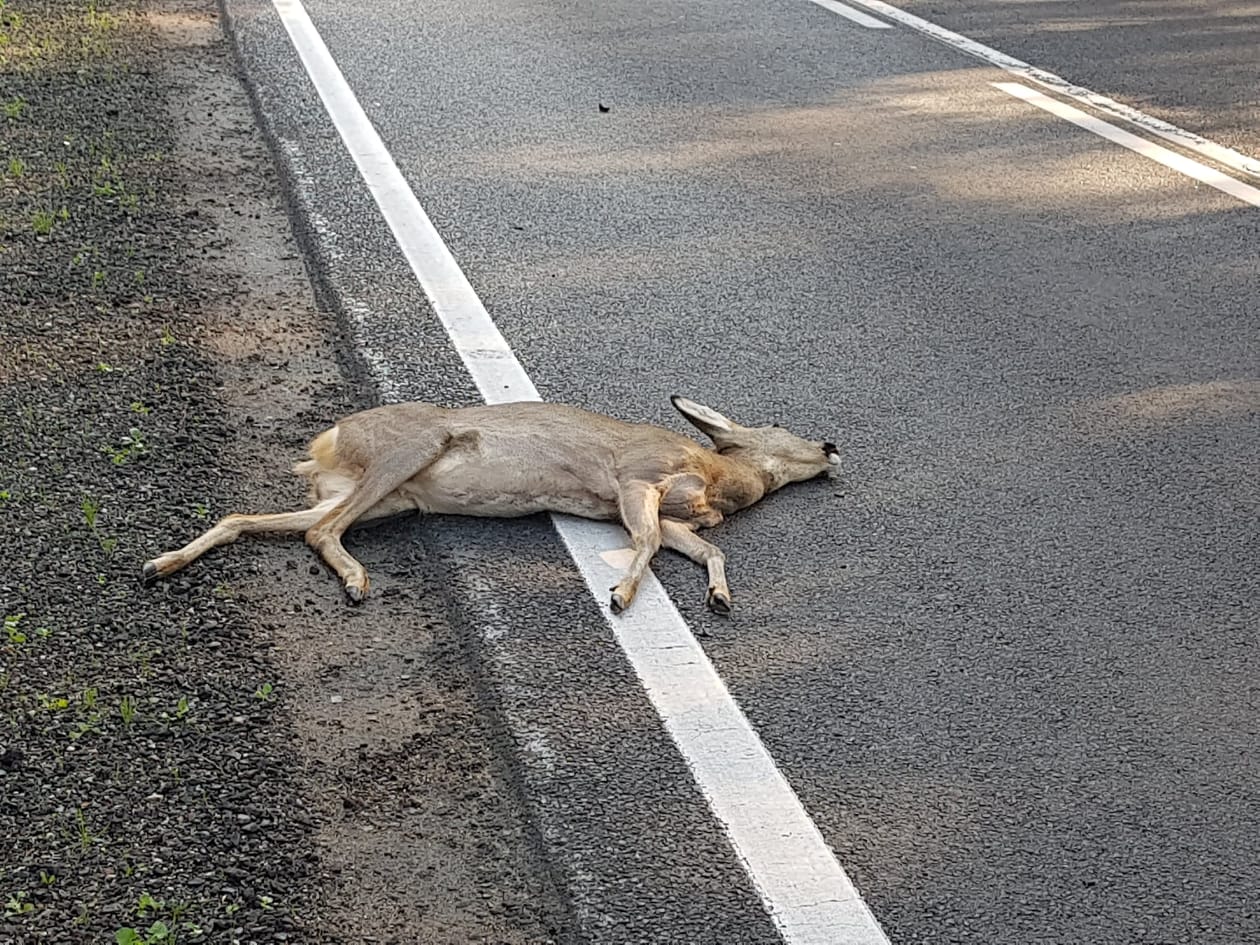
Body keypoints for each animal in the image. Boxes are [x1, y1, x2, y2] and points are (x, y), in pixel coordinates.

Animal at [144, 395, 836, 617]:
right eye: (780, 427)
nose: (831, 444)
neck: (718, 480)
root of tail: (327, 442)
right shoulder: (635, 477)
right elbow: (643, 542)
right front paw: (619, 595)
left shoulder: (663, 512)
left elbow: (706, 545)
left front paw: (719, 596)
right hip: (410, 450)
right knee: (320, 532)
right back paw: (357, 581)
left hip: (385, 497)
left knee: (260, 520)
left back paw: (160, 564)